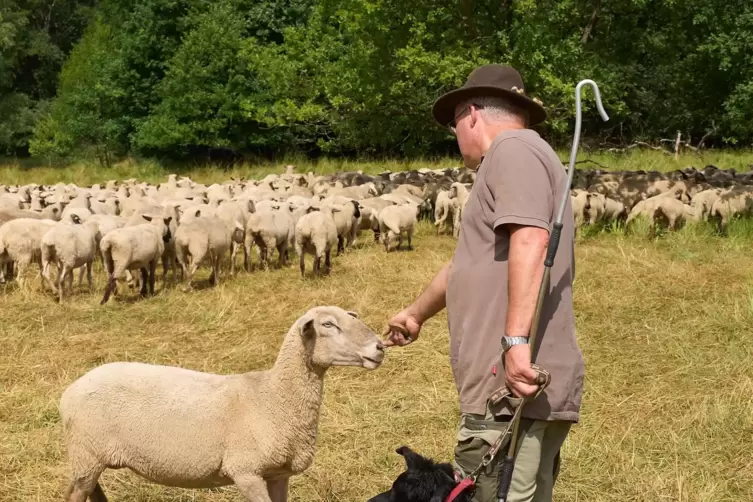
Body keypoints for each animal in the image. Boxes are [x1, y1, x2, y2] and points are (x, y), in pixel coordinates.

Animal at [59, 304, 384, 502]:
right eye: (328, 324)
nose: (379, 347)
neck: (274, 396)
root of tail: (69, 392)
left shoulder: (279, 474)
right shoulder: (246, 472)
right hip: (86, 453)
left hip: (92, 457)